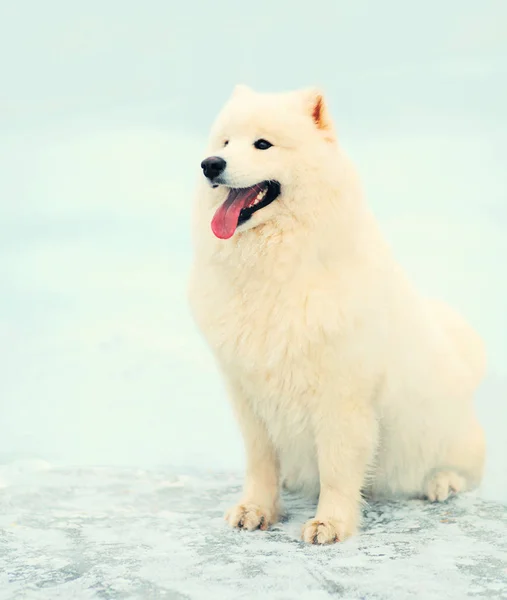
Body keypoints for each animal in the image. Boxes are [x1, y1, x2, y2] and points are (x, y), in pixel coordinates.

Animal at [188, 84, 488, 544]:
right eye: (223, 143)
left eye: (262, 144)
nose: (210, 165)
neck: (275, 267)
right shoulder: (247, 393)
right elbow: (260, 462)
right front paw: (256, 509)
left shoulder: (341, 394)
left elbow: (336, 467)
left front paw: (330, 523)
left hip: (439, 428)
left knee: (465, 469)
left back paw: (442, 482)